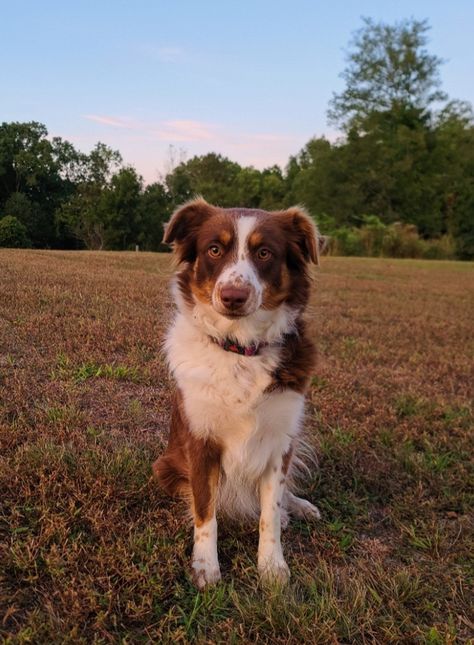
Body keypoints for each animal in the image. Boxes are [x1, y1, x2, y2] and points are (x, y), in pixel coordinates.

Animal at [154, 199, 324, 588]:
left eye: (264, 253)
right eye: (214, 250)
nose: (233, 296)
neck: (240, 348)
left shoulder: (280, 442)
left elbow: (270, 514)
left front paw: (272, 567)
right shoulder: (201, 441)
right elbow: (205, 512)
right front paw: (205, 568)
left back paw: (299, 507)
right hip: (165, 466)